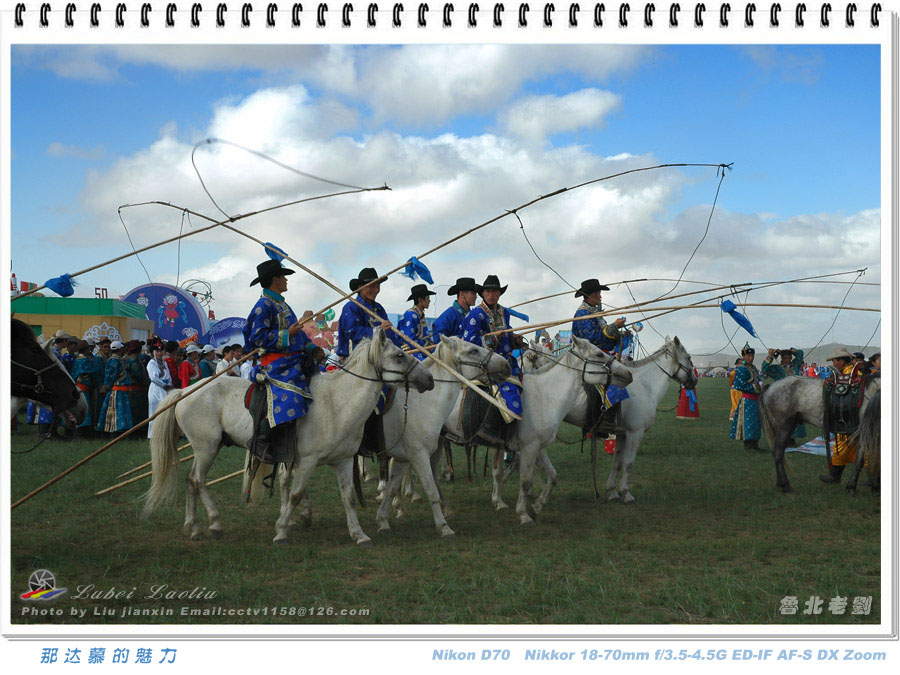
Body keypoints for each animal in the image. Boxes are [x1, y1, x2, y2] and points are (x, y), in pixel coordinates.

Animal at [144, 330, 432, 548]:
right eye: (399, 355)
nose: (428, 379)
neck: (338, 402)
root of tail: (185, 391)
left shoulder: (343, 460)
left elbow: (348, 497)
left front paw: (359, 534)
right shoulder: (307, 460)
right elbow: (294, 494)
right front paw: (282, 530)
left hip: (204, 449)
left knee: (190, 480)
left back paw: (193, 526)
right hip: (207, 447)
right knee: (197, 480)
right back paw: (214, 523)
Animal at [374, 336, 512, 540]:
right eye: (473, 351)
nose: (506, 364)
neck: (421, 403)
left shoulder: (406, 456)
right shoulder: (419, 455)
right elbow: (431, 489)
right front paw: (444, 528)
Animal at [442, 336, 632, 524]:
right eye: (599, 354)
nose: (628, 374)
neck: (545, 396)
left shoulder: (537, 447)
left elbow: (551, 476)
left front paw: (535, 506)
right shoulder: (529, 447)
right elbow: (525, 481)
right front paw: (523, 514)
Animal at [564, 336, 696, 504]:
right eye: (689, 358)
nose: (694, 380)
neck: (645, 385)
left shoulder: (622, 434)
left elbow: (617, 463)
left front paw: (612, 491)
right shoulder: (635, 432)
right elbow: (628, 463)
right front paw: (626, 493)